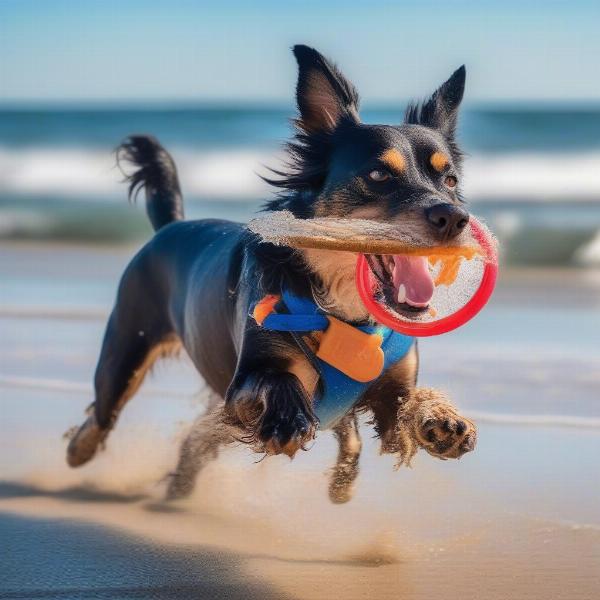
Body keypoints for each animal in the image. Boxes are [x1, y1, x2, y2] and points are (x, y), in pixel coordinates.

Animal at [67, 44, 478, 502]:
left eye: (450, 179)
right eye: (378, 174)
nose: (454, 218)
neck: (344, 310)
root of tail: (170, 226)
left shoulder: (392, 390)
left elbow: (407, 405)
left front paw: (441, 421)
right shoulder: (241, 384)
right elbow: (277, 381)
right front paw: (286, 417)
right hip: (126, 349)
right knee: (104, 413)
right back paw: (80, 452)